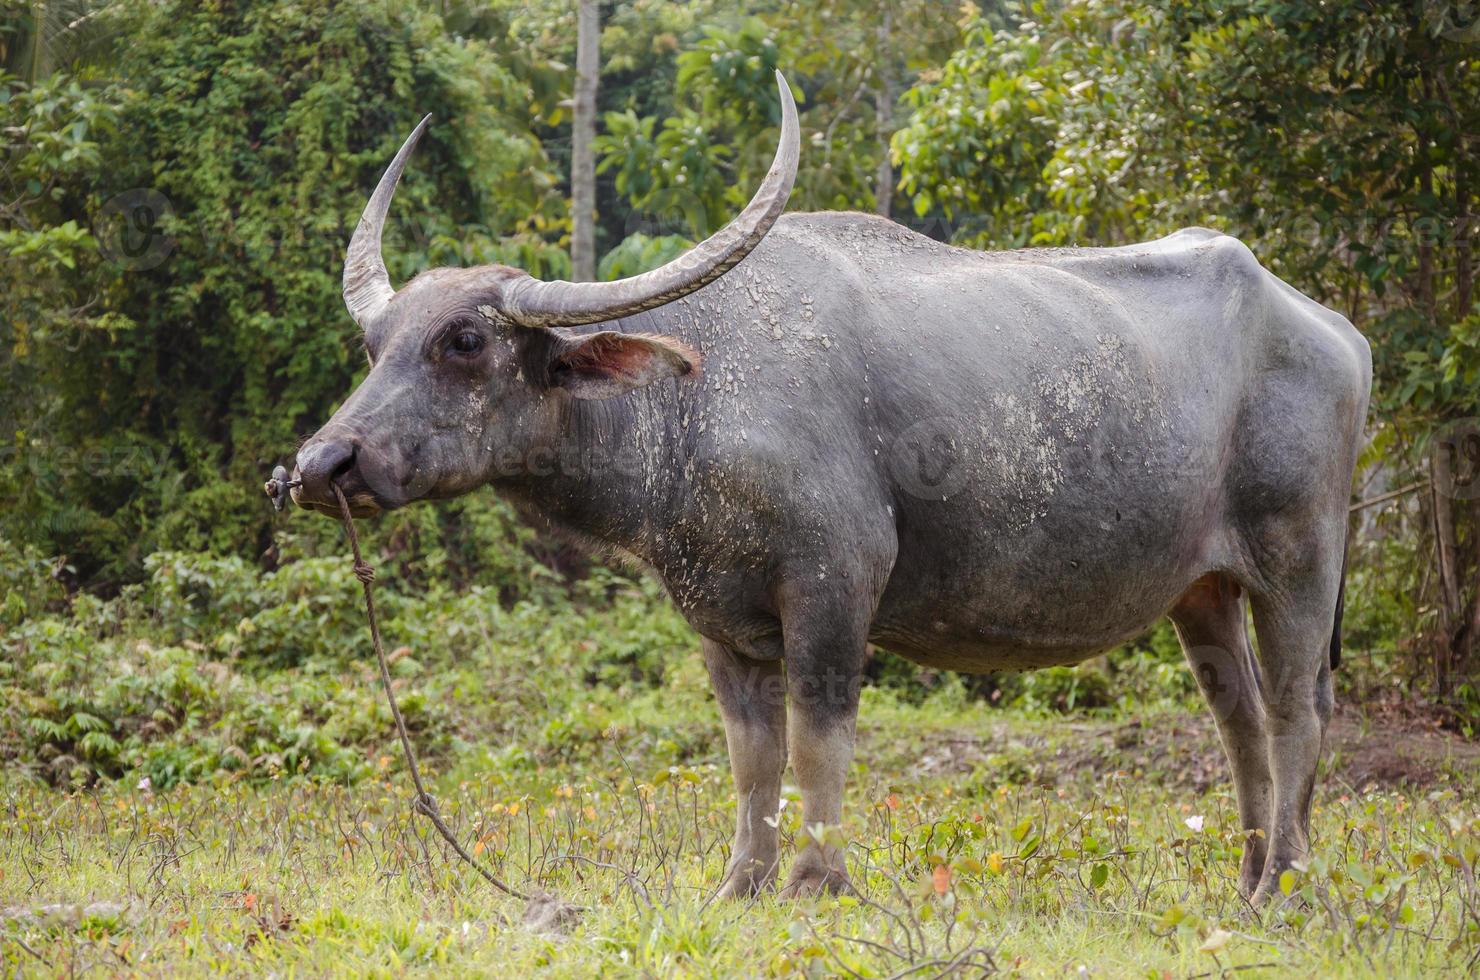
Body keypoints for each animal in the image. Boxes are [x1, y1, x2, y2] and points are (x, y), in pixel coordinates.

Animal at [291, 74, 1373, 905]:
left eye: (465, 340)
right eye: (376, 345)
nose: (321, 465)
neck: (692, 399)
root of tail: (1332, 329)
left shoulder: (831, 587)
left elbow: (818, 744)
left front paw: (818, 882)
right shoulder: (720, 621)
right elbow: (752, 761)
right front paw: (740, 885)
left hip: (1300, 555)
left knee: (1298, 709)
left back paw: (1286, 885)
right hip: (1203, 587)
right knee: (1239, 718)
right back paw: (1248, 876)